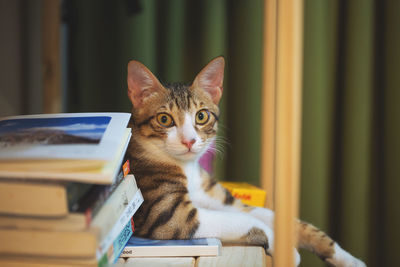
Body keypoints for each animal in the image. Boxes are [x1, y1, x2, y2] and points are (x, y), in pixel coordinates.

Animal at [127, 57, 366, 267]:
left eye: (201, 116)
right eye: (164, 119)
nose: (189, 141)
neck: (188, 168)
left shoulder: (217, 196)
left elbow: (273, 216)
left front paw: (348, 258)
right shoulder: (169, 214)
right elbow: (243, 220)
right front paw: (286, 249)